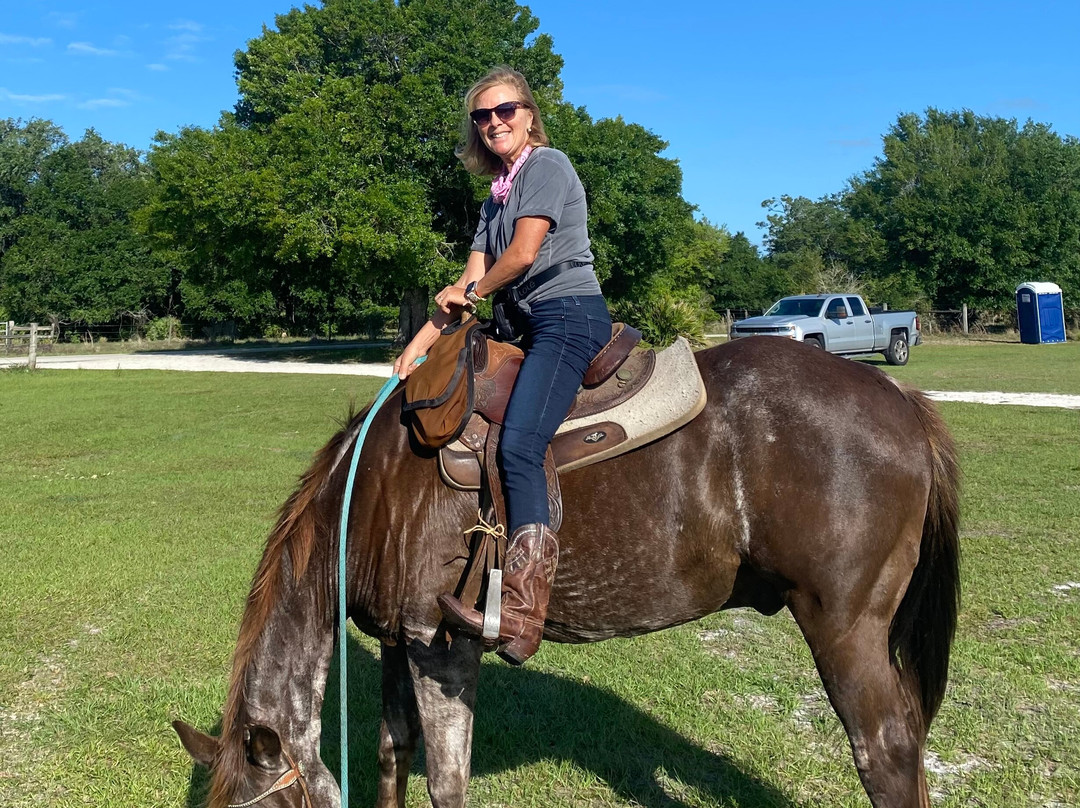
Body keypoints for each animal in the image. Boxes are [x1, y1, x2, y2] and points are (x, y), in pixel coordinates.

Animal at [173, 335, 960, 808]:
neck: (375, 487)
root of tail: (905, 403)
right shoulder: (399, 638)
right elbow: (393, 752)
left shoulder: (440, 646)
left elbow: (447, 785)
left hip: (844, 626)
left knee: (886, 750)